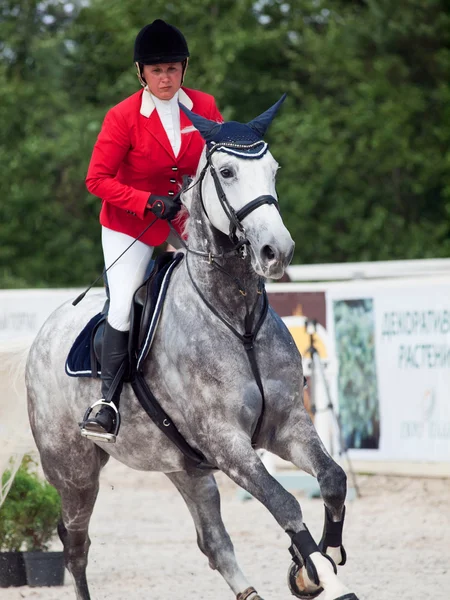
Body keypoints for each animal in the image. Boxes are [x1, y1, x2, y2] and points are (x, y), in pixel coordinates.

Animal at [25, 99, 358, 600]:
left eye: (273, 170)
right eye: (227, 171)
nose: (276, 251)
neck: (235, 318)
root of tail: (46, 331)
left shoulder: (286, 424)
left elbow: (333, 479)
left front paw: (320, 559)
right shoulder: (226, 441)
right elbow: (283, 503)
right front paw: (320, 572)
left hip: (185, 467)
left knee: (214, 542)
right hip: (73, 470)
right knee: (75, 545)